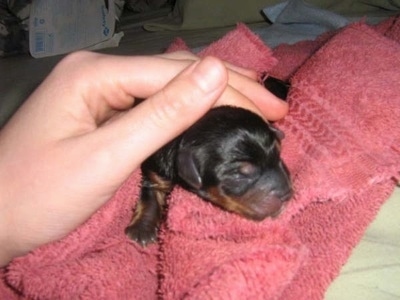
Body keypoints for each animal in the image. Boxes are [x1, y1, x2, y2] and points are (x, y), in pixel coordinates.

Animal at [125, 105, 294, 246]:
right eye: (238, 175)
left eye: (278, 156)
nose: (287, 195)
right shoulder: (156, 169)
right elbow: (150, 193)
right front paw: (142, 229)